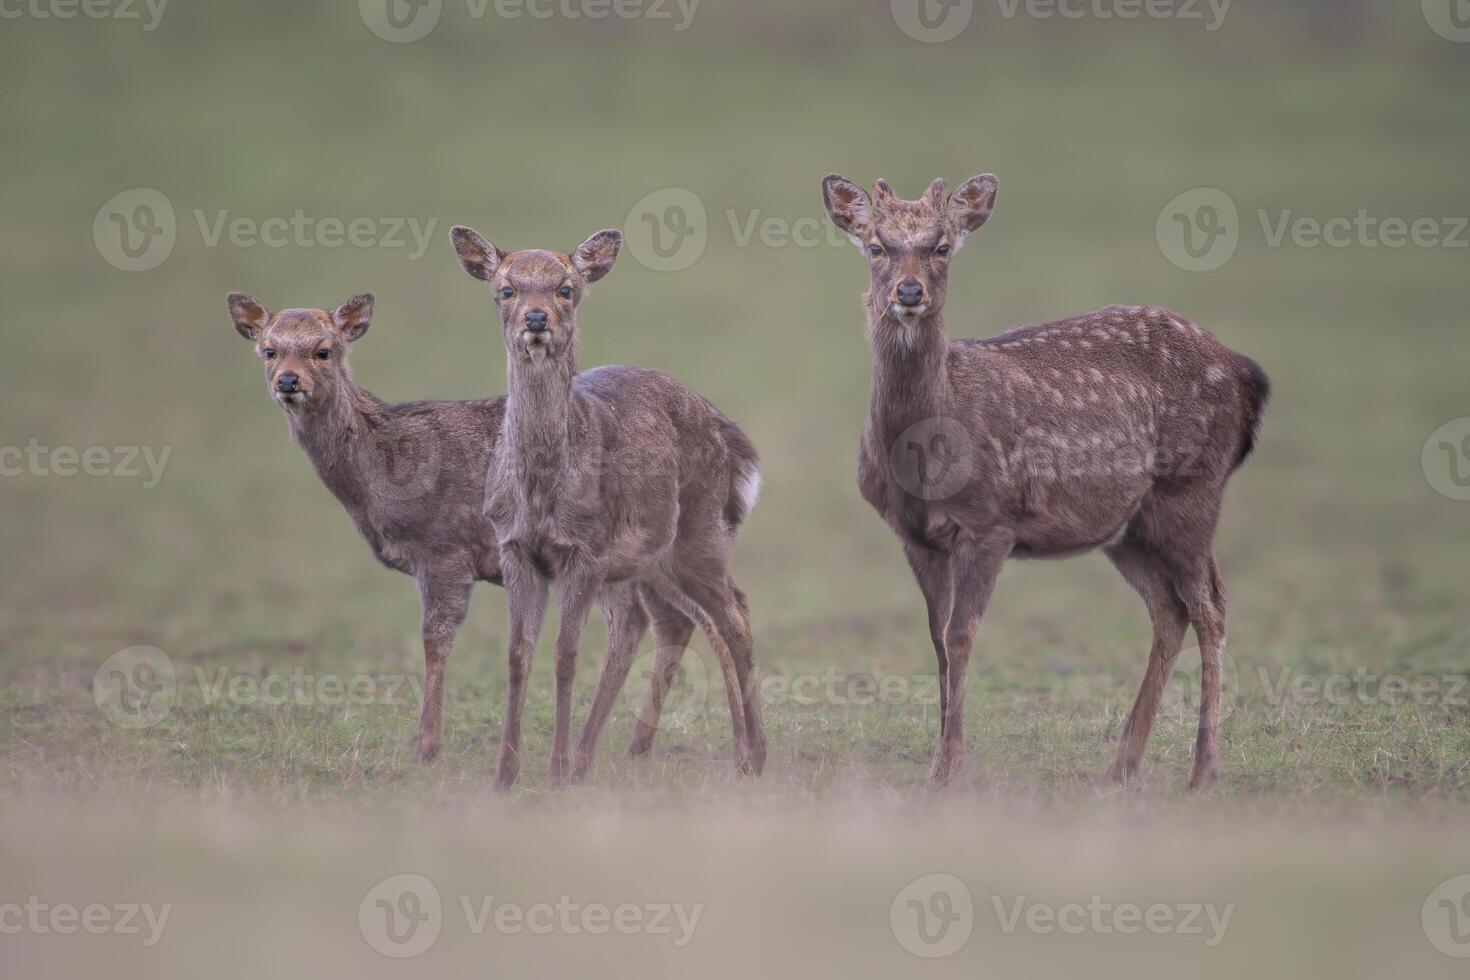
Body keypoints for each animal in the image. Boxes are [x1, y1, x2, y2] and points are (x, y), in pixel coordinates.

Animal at [226, 289, 685, 775]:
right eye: (269, 350)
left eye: (324, 350)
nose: (288, 381)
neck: (382, 476)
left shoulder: (445, 550)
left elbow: (435, 639)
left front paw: (427, 746)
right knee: (658, 620)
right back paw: (629, 745)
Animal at [449, 224, 770, 787]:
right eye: (505, 290)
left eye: (566, 288)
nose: (536, 318)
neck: (540, 490)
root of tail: (724, 430)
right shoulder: (515, 547)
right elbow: (517, 655)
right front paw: (506, 774)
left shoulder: (583, 550)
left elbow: (565, 654)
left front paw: (553, 768)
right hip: (645, 561)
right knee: (659, 621)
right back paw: (607, 754)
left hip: (699, 533)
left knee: (732, 615)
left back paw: (752, 755)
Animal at [823, 174, 1270, 787]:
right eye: (876, 246)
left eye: (942, 247)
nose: (908, 292)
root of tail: (1249, 376)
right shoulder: (913, 535)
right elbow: (937, 639)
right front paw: (940, 757)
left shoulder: (990, 520)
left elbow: (962, 634)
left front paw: (949, 766)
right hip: (1128, 526)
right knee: (1169, 609)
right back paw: (1121, 766)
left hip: (1192, 491)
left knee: (1212, 607)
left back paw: (1202, 771)